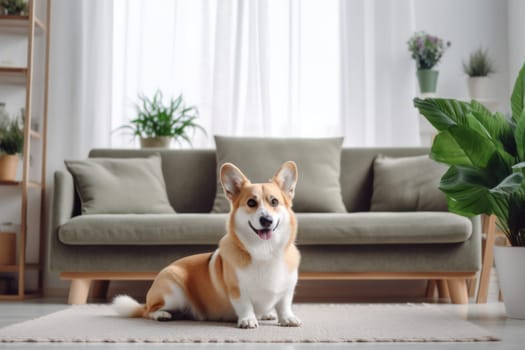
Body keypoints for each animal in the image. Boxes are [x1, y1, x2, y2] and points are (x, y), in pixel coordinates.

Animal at [112, 161, 300, 328]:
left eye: (274, 202)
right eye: (251, 203)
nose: (266, 220)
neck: (265, 250)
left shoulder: (287, 290)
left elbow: (284, 305)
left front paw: (287, 318)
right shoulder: (237, 290)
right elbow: (245, 305)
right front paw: (248, 320)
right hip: (173, 292)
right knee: (149, 311)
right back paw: (162, 314)